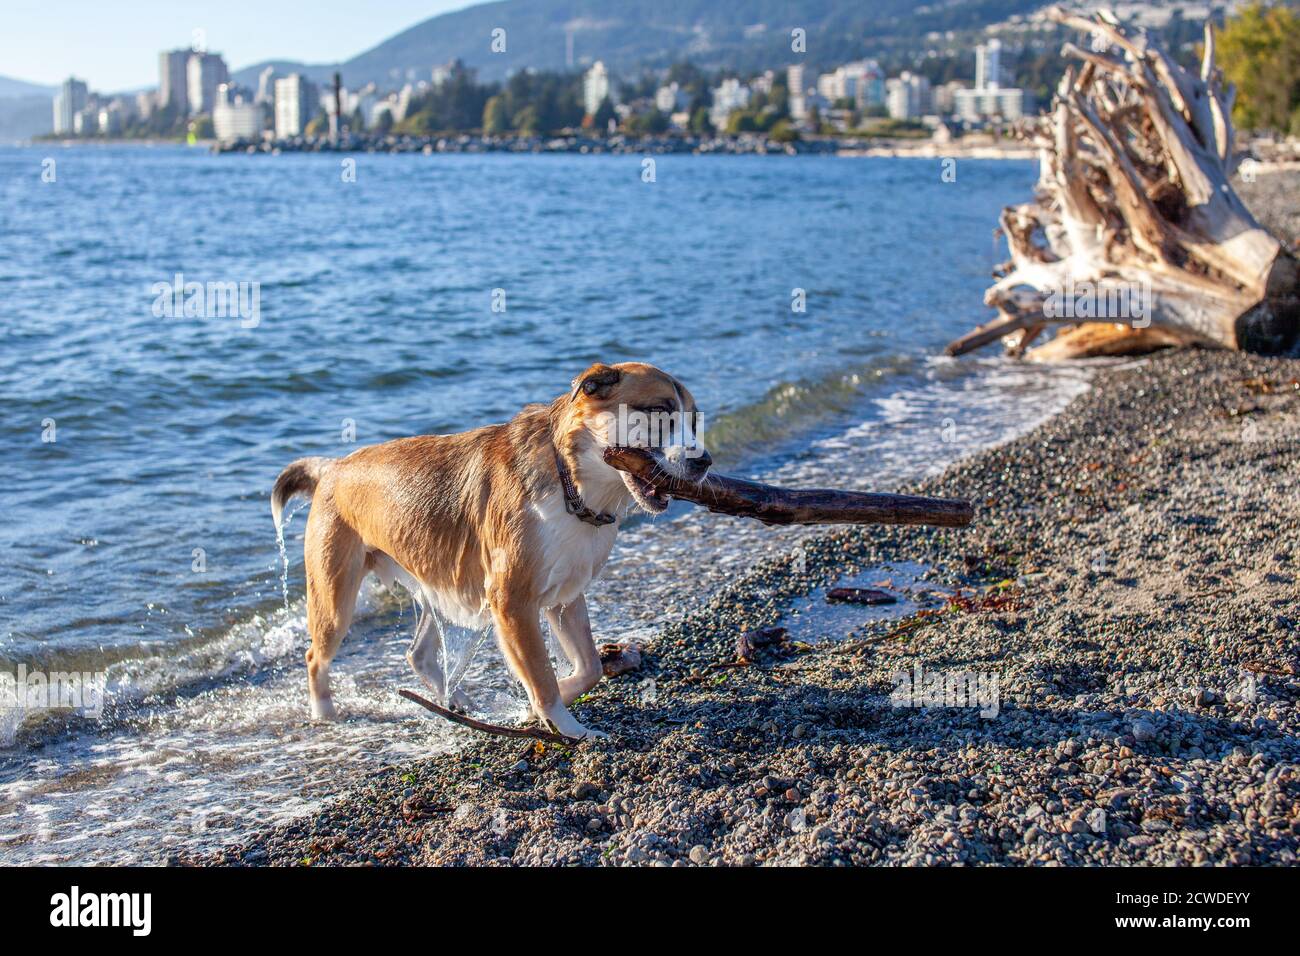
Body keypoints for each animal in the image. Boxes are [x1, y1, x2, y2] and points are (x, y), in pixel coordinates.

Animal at [267, 361, 707, 738]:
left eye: (693, 420)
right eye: (659, 412)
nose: (704, 461)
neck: (570, 480)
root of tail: (333, 468)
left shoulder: (564, 598)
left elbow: (590, 668)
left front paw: (532, 710)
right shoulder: (513, 602)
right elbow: (543, 678)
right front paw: (570, 729)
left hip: (434, 586)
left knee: (418, 654)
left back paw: (455, 700)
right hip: (334, 598)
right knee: (315, 656)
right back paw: (324, 713)